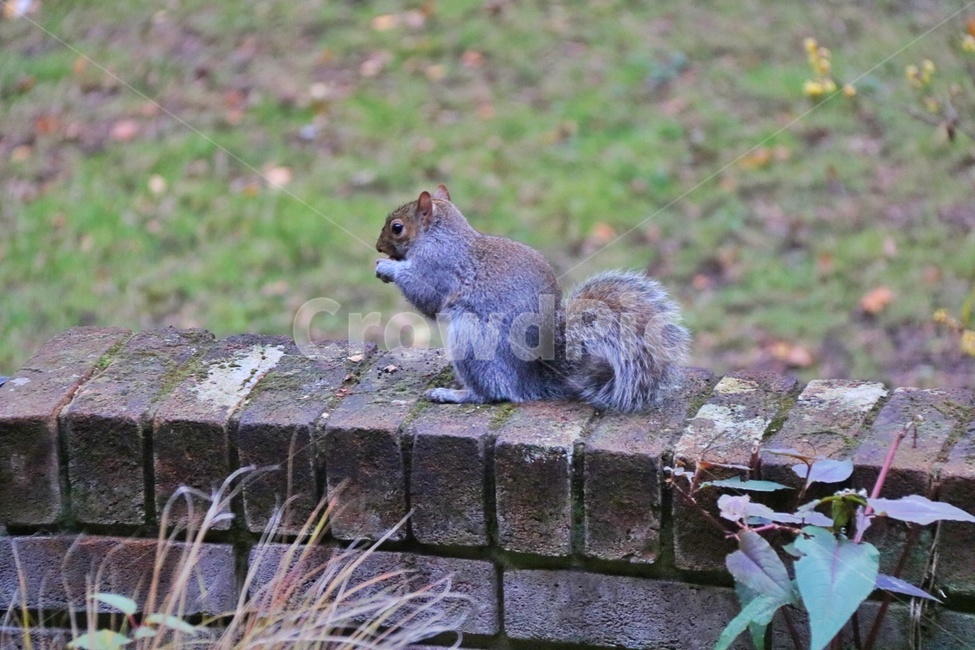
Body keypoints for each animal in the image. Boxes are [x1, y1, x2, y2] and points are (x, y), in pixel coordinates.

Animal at [375, 185, 690, 412]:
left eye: (397, 227)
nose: (378, 247)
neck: (440, 236)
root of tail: (531, 382)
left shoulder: (438, 267)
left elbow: (426, 295)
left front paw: (387, 268)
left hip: (472, 339)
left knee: (492, 393)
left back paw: (453, 393)